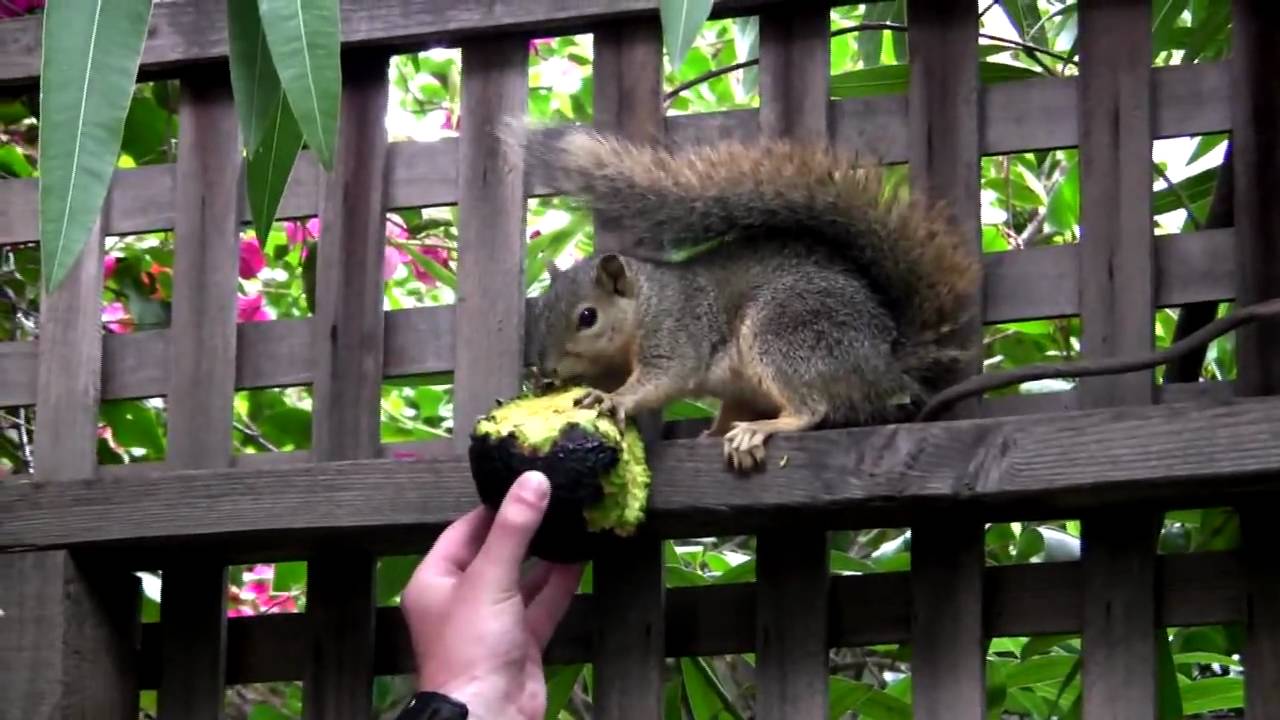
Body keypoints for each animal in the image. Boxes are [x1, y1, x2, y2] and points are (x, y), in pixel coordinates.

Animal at [503, 121, 982, 473]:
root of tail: (885, 361)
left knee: (812, 408)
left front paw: (614, 399)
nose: (546, 368)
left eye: (587, 317)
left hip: (785, 332)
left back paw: (764, 427)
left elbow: (662, 378)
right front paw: (549, 385)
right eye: (541, 314)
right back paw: (719, 432)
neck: (646, 304)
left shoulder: (677, 330)